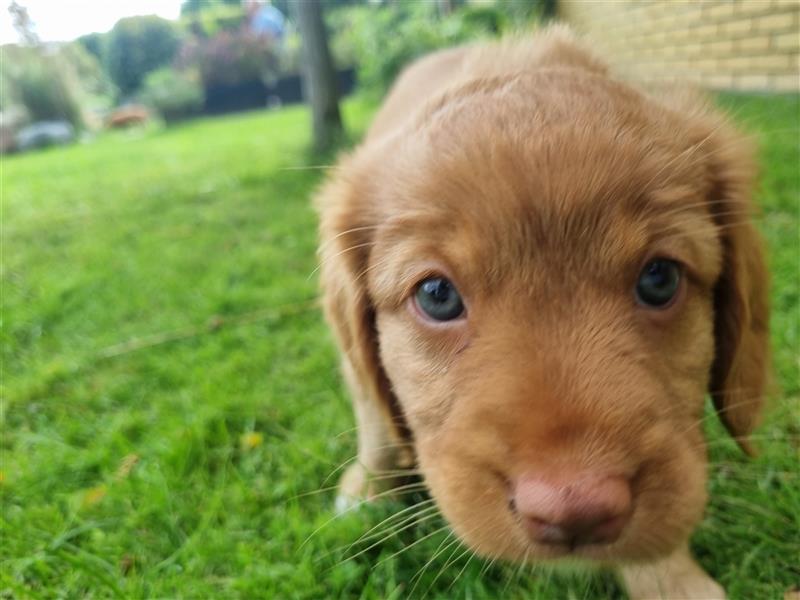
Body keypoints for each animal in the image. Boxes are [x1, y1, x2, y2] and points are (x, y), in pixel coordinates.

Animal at [314, 25, 768, 596]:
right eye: (436, 295)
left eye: (660, 279)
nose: (576, 511)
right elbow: (373, 417)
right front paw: (368, 489)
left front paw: (672, 578)